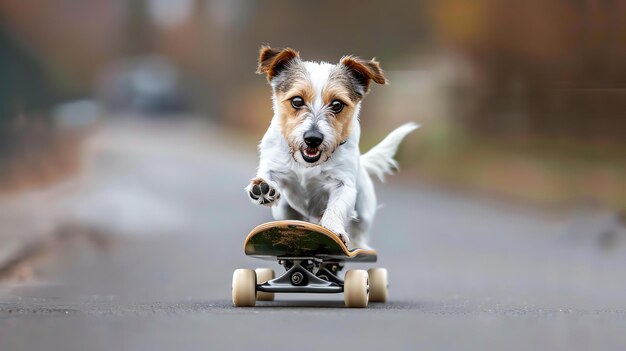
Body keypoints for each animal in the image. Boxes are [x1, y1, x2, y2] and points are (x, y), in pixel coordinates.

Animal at [246, 46, 416, 250]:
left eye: (337, 104)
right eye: (297, 101)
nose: (313, 139)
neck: (308, 164)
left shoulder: (344, 184)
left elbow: (337, 207)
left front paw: (333, 231)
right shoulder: (273, 164)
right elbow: (267, 174)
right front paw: (263, 188)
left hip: (364, 213)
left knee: (359, 233)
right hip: (285, 211)